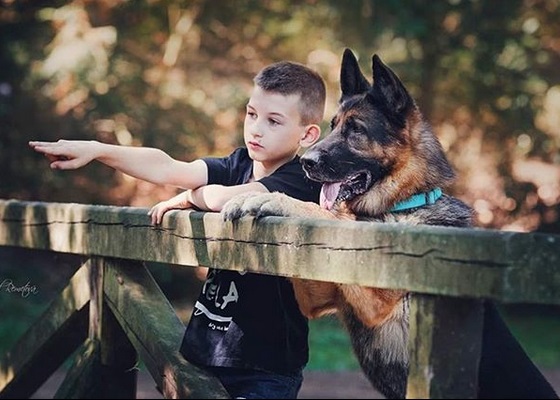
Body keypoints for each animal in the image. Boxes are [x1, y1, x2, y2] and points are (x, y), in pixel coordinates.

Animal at [222, 48, 556, 398]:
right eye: (333, 126)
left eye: (356, 130)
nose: (306, 163)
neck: (401, 204)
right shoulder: (317, 292)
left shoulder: (376, 301)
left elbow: (326, 215)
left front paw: (271, 198)